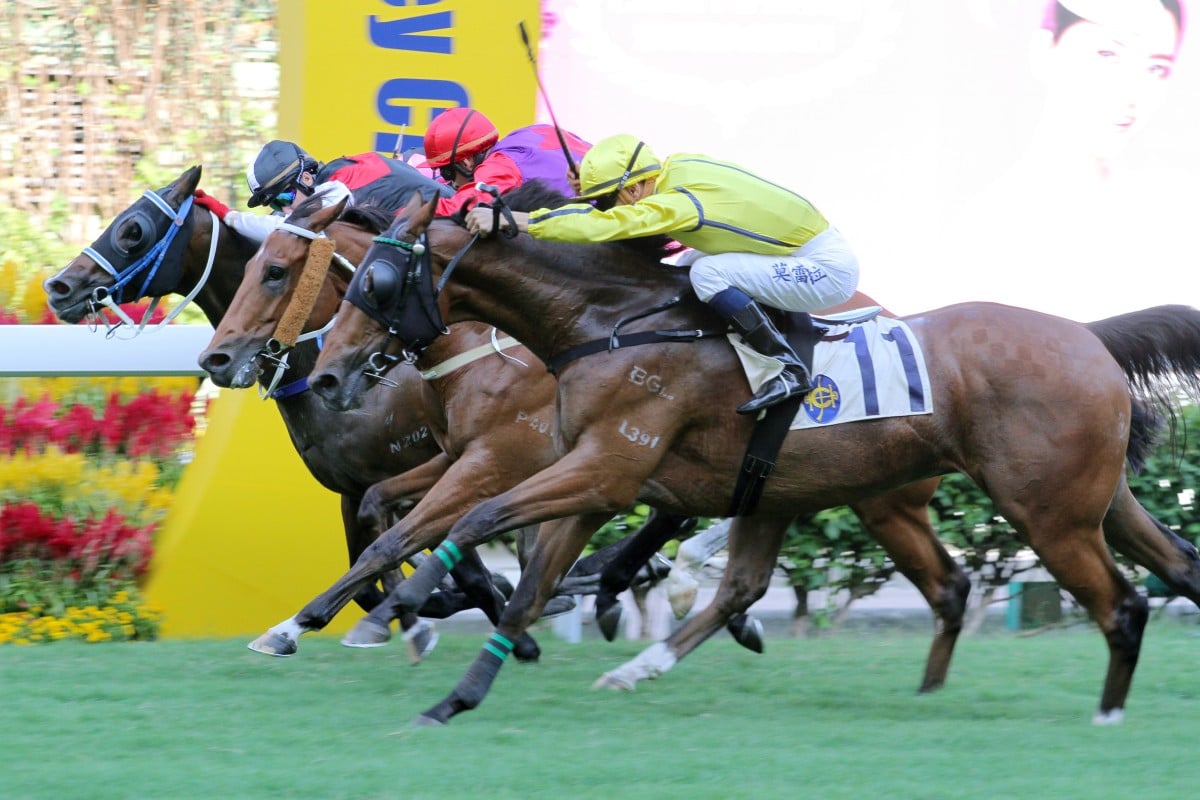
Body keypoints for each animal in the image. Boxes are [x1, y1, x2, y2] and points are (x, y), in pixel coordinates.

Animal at [307, 190, 1200, 729]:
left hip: (1044, 510)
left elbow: (482, 518)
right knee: (1172, 567)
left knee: (1121, 603)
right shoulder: (595, 480)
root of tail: (1086, 334)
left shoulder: (605, 469)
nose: (325, 375)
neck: (611, 322)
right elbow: (526, 586)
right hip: (1084, 498)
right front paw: (453, 697)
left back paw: (1107, 716)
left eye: (374, 281)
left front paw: (403, 605)